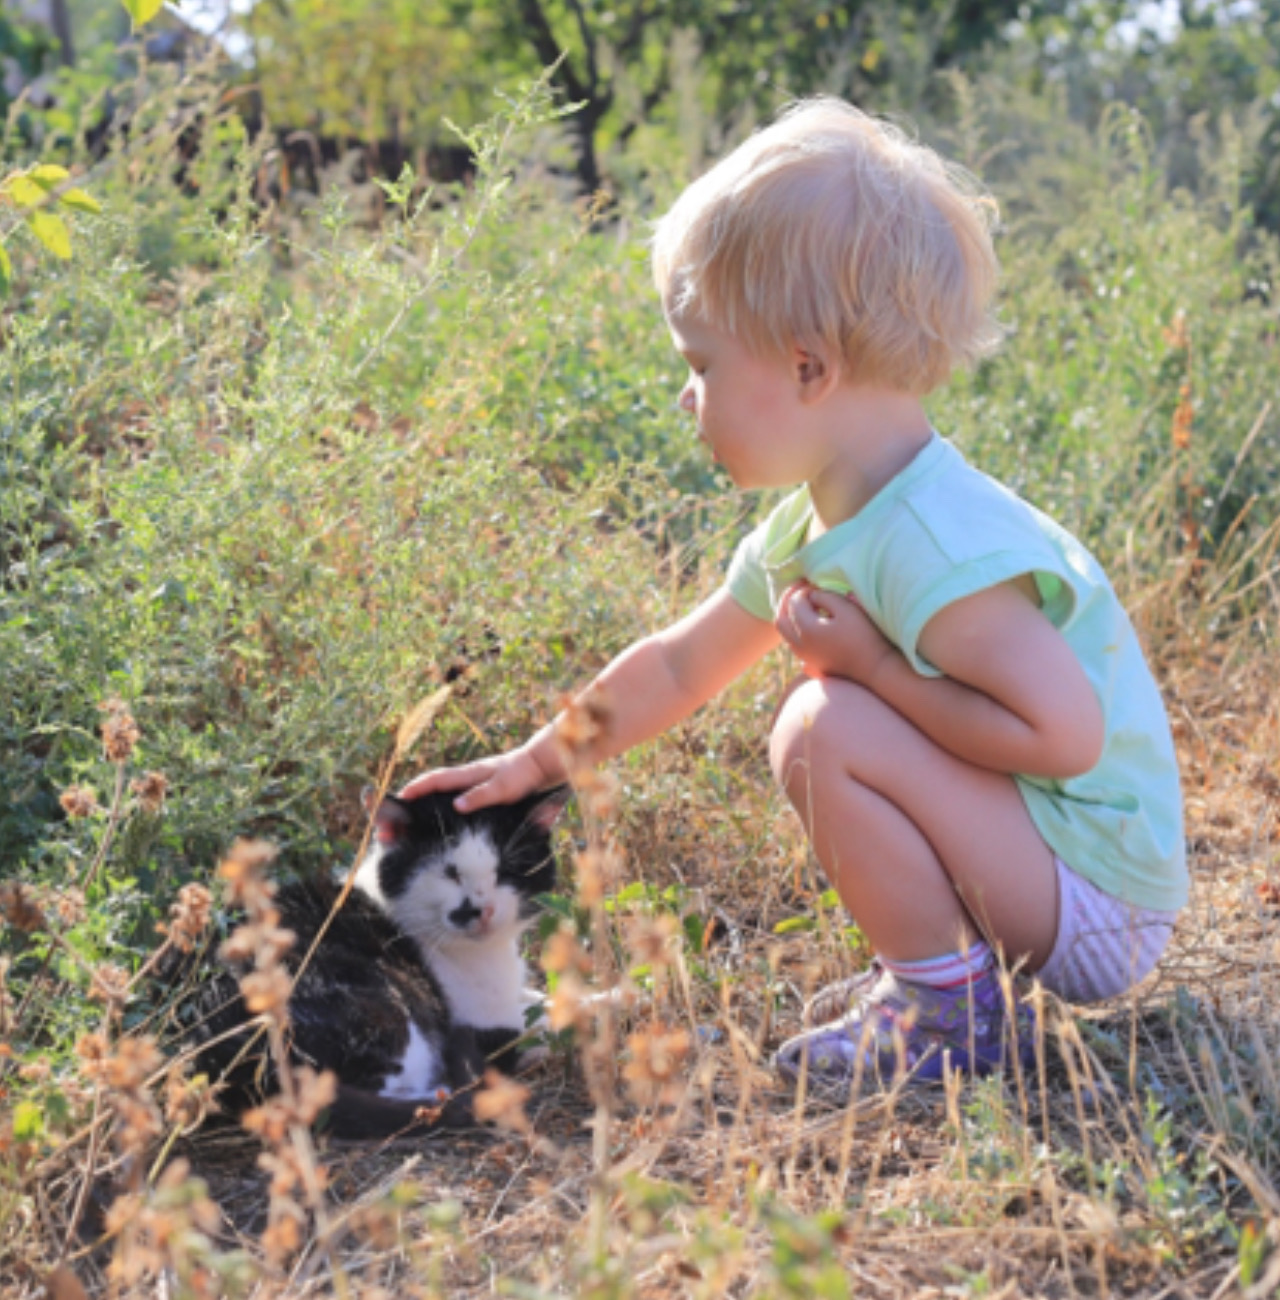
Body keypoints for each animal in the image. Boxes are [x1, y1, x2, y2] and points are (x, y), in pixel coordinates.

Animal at [176, 780, 566, 1138]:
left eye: (507, 869)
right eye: (449, 872)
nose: (481, 912)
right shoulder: (478, 1020)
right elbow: (548, 1020)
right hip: (386, 1010)